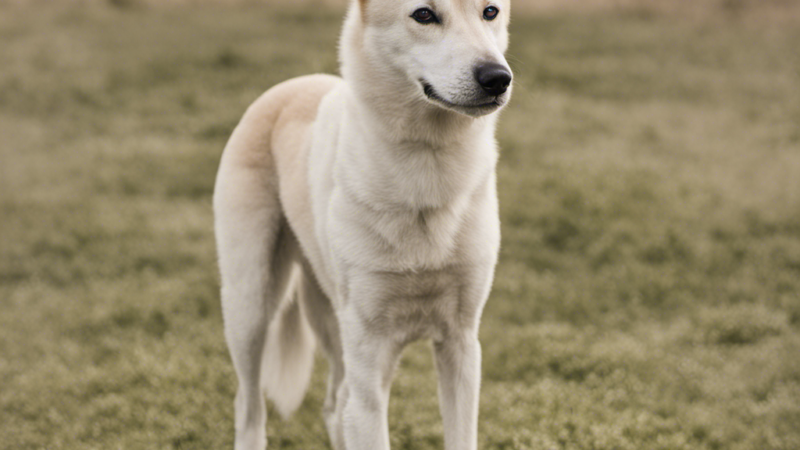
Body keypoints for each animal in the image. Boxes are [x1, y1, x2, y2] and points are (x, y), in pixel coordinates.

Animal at [212, 0, 512, 446]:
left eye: (490, 11)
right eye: (424, 15)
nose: (497, 78)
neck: (428, 164)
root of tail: (291, 86)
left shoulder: (460, 345)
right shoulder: (369, 359)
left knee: (335, 407)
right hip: (250, 305)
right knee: (249, 409)